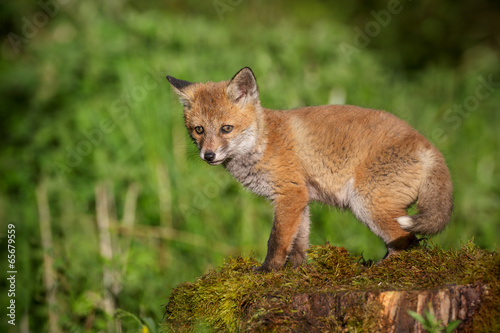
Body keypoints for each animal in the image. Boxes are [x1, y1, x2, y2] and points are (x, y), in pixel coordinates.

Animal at [168, 67, 454, 270]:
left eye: (226, 128)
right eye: (199, 130)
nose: (208, 155)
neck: (264, 142)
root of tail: (429, 146)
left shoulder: (290, 194)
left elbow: (277, 241)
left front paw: (267, 271)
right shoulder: (301, 198)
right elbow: (298, 244)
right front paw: (298, 271)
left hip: (367, 204)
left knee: (409, 242)